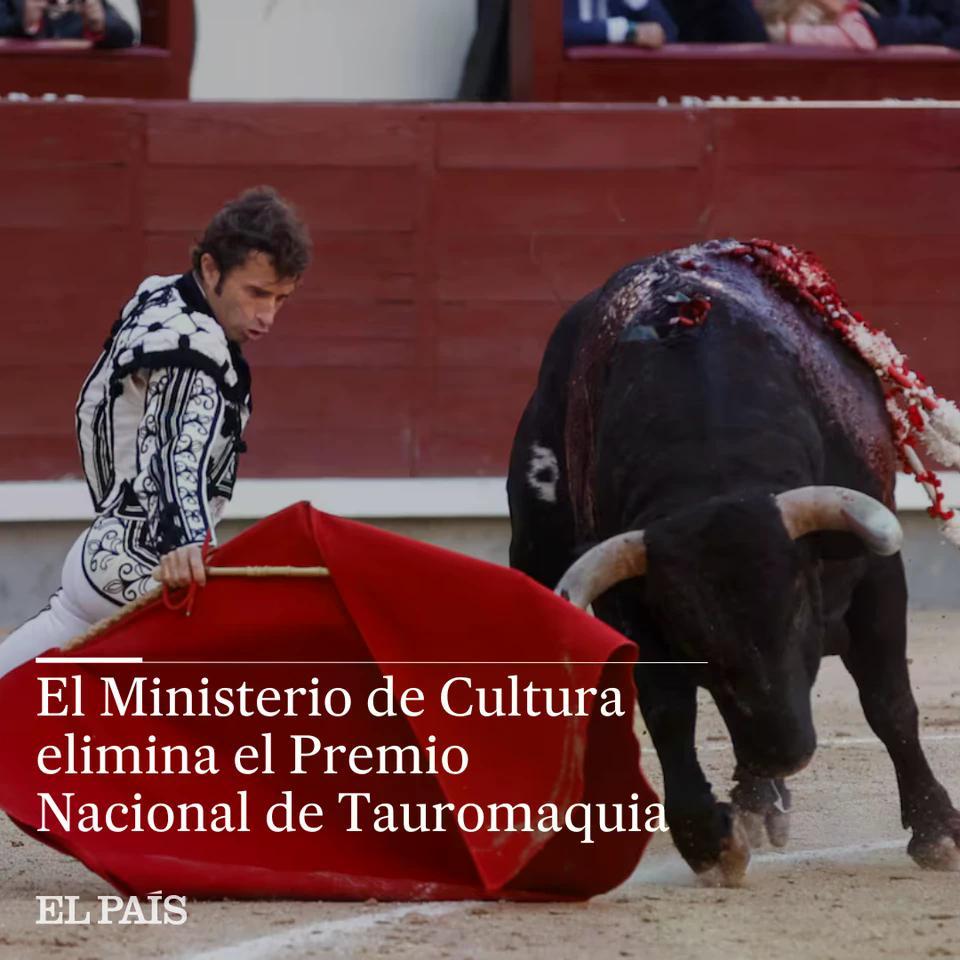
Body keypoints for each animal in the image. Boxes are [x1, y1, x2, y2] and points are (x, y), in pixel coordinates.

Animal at [506, 240, 956, 884]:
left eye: (797, 610)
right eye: (694, 640)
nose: (783, 752)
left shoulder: (877, 578)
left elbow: (889, 702)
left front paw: (936, 830)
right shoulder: (634, 606)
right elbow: (668, 710)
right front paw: (707, 838)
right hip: (537, 546)